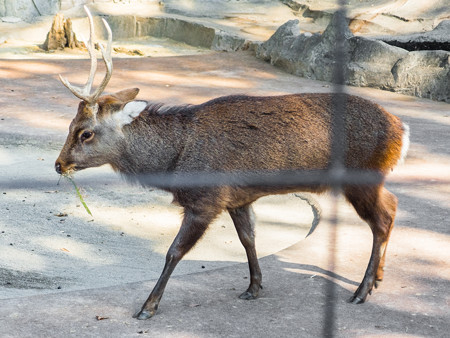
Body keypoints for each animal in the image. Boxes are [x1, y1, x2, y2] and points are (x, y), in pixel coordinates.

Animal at [54, 7, 410, 320]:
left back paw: (362, 291)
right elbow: (248, 239)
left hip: (361, 177)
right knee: (392, 205)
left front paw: (147, 307)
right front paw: (254, 287)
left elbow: (174, 251)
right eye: (71, 126)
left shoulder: (206, 200)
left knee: (382, 219)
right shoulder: (238, 197)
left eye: (85, 133)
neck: (176, 160)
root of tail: (401, 130)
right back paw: (378, 278)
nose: (59, 164)